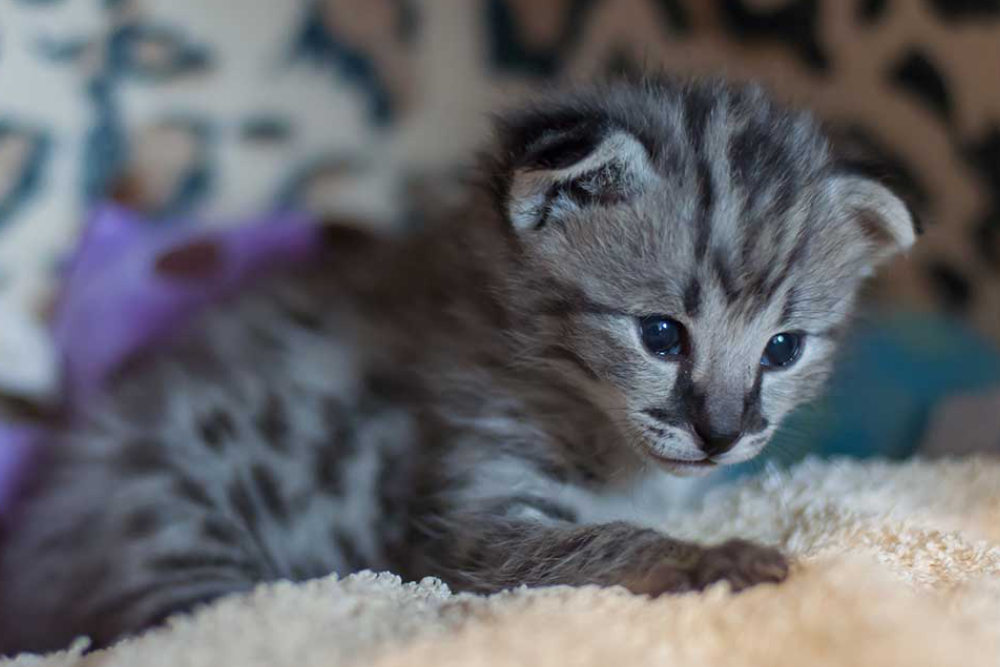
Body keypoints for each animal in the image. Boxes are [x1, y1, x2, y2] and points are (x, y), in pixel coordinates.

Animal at [0, 77, 916, 652]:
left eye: (783, 347)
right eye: (661, 334)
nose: (722, 434)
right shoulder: (466, 521)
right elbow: (598, 542)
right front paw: (710, 560)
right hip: (176, 528)